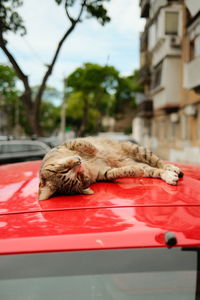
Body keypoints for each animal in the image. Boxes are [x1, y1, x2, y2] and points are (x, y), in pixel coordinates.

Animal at [38, 137, 184, 200]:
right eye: (78, 178)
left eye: (65, 170)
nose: (79, 163)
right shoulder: (104, 173)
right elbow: (116, 173)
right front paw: (135, 171)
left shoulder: (66, 145)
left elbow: (80, 143)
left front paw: (94, 149)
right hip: (135, 162)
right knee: (153, 170)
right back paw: (169, 176)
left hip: (138, 150)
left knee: (159, 162)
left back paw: (172, 167)